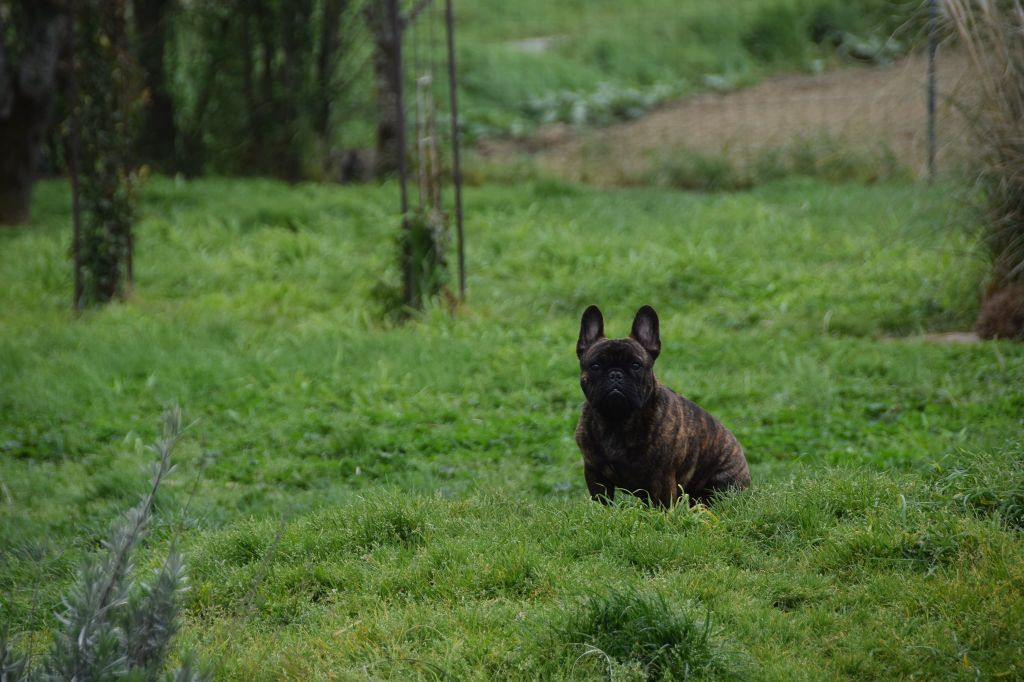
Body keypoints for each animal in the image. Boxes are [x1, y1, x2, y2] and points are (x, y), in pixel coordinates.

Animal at [573, 303, 749, 503]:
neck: (616, 419)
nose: (615, 374)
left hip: (721, 486)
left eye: (636, 365)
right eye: (595, 366)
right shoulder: (595, 473)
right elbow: (603, 501)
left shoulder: (662, 478)